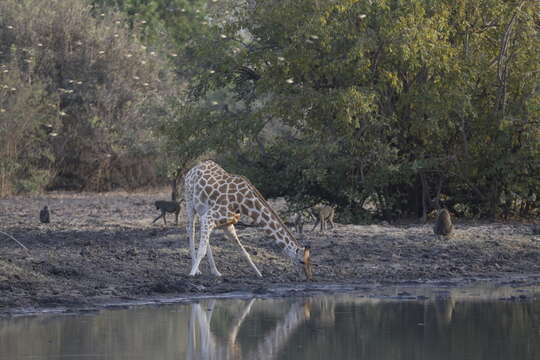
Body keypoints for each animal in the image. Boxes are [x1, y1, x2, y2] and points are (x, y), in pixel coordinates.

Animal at [185, 160, 314, 282]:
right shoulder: (210, 217)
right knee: (191, 230)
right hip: (190, 202)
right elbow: (201, 250)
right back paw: (197, 270)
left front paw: (259, 274)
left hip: (202, 210)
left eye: (310, 261)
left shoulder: (227, 224)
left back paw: (215, 271)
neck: (244, 203)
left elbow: (244, 251)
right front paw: (191, 273)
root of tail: (192, 169)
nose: (308, 278)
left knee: (205, 238)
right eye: (302, 261)